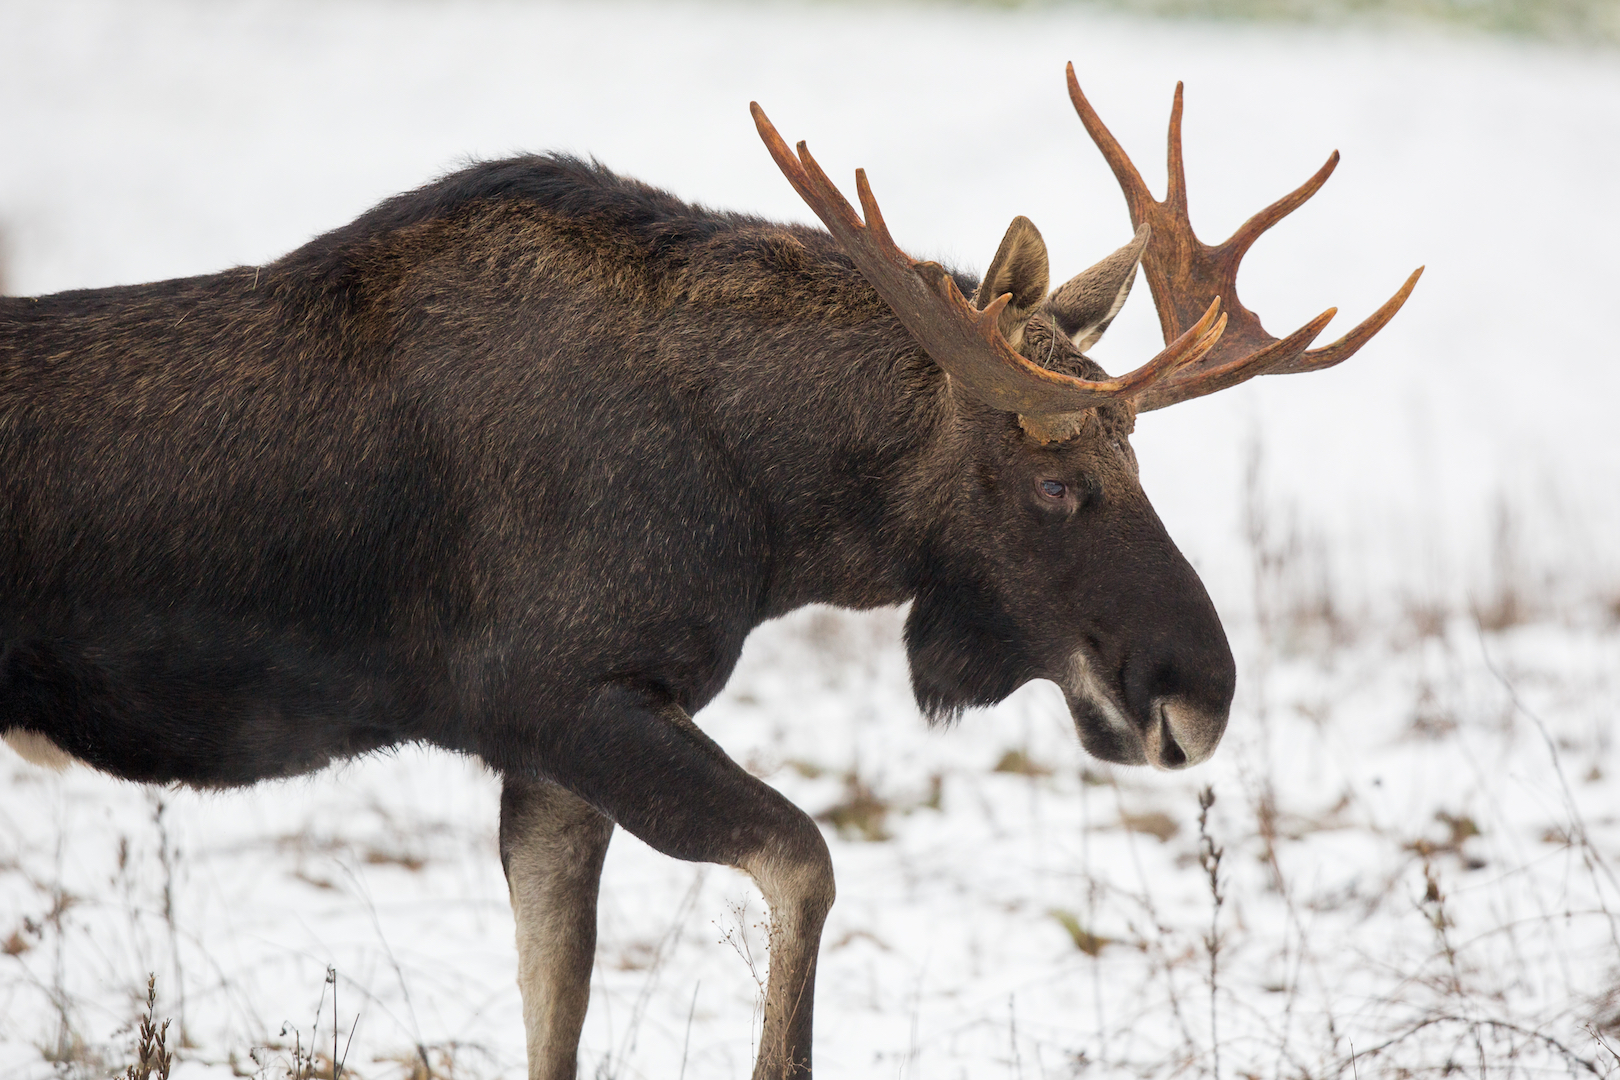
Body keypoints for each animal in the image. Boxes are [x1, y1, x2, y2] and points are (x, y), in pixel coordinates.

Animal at [0, 67, 1419, 1080]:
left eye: (1139, 460)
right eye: (1057, 481)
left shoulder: (551, 755)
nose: (1200, 695)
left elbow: (555, 1019)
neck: (772, 514)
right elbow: (806, 864)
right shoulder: (570, 698)